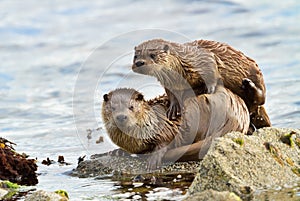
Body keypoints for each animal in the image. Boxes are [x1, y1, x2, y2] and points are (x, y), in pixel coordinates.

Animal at [102, 83, 250, 170]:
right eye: (113, 108)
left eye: (131, 107)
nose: (121, 116)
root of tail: (237, 117)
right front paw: (117, 151)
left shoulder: (166, 125)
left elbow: (167, 140)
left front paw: (154, 157)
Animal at [132, 38, 270, 130]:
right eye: (135, 56)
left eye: (152, 55)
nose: (139, 63)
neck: (181, 67)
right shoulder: (168, 82)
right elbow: (171, 93)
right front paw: (173, 108)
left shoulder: (204, 59)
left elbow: (212, 71)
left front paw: (208, 89)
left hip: (256, 74)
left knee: (261, 98)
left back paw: (248, 85)